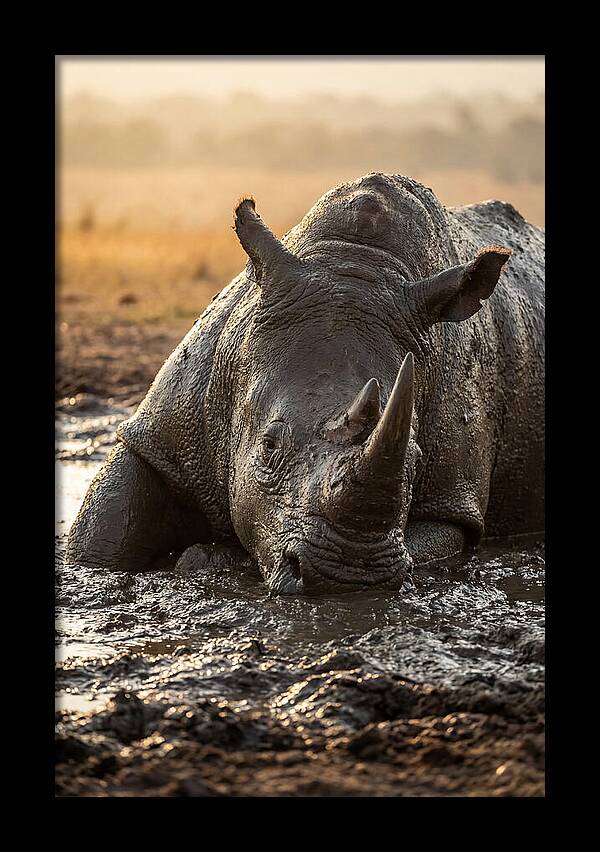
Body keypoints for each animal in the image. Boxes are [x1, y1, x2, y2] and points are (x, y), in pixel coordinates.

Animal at [66, 173, 544, 595]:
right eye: (268, 446)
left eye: (415, 459)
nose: (347, 577)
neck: (356, 264)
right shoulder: (161, 433)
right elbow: (103, 534)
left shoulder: (452, 501)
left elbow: (433, 539)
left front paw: (208, 559)